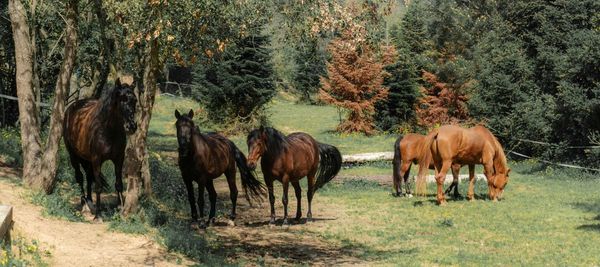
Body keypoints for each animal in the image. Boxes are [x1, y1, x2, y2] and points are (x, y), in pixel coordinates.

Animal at [63, 78, 138, 220]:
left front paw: (120, 209)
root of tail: (71, 108)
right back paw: (85, 206)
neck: (108, 129)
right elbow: (98, 186)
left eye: (135, 100)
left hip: (86, 159)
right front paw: (98, 215)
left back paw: (90, 202)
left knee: (88, 177)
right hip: (73, 156)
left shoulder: (119, 159)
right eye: (122, 99)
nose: (131, 126)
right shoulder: (97, 160)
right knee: (80, 177)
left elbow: (118, 184)